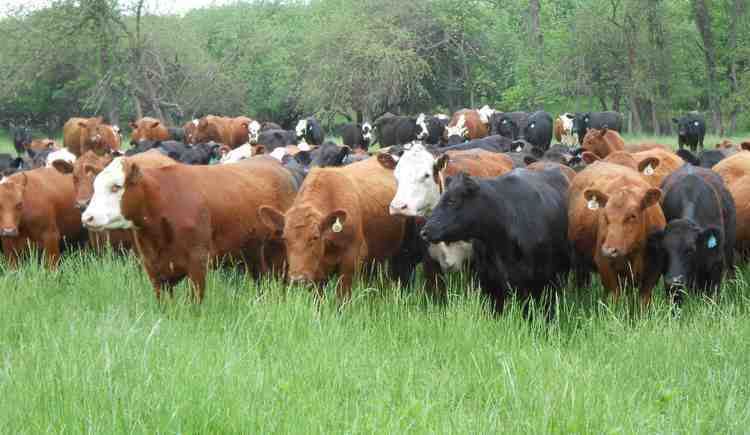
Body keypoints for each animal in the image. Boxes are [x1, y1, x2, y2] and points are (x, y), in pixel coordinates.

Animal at [79, 157, 296, 304]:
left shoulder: (197, 262)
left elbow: (195, 304)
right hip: (254, 256)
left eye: (116, 187)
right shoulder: (153, 267)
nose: (87, 217)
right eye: (95, 187)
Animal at [258, 157, 412, 300]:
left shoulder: (350, 262)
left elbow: (342, 298)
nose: (298, 279)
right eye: (285, 238)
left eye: (315, 237)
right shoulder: (317, 272)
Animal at [568, 162, 668, 304]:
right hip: (578, 260)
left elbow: (643, 299)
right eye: (605, 215)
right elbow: (615, 298)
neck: (635, 252)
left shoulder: (654, 268)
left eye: (632, 216)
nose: (609, 250)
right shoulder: (604, 264)